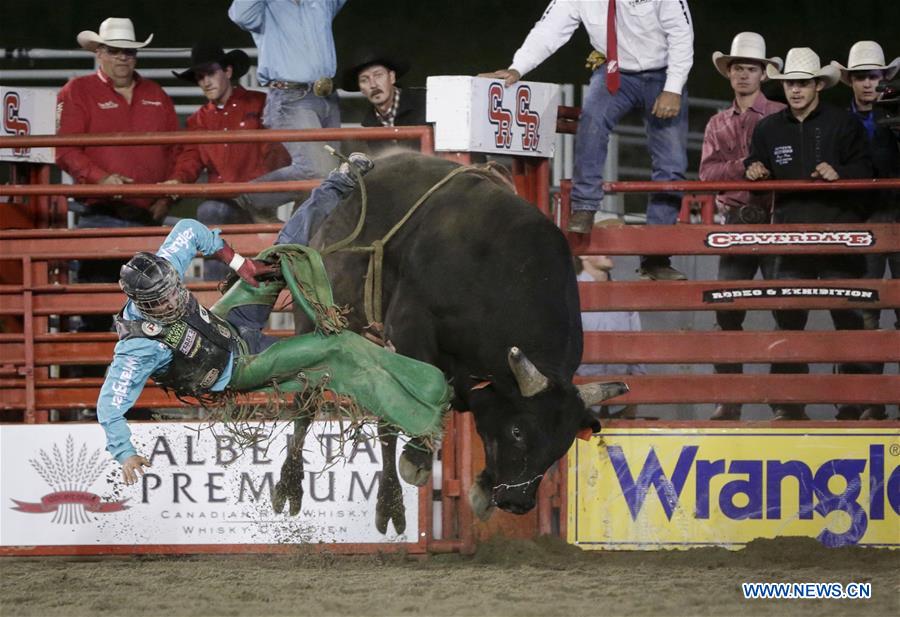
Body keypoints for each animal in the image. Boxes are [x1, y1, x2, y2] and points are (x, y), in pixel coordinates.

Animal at [270, 153, 628, 528]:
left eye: (562, 445)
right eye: (518, 431)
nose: (517, 502)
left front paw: (482, 487)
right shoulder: (410, 328)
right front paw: (417, 460)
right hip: (316, 320)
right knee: (307, 401)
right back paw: (298, 488)